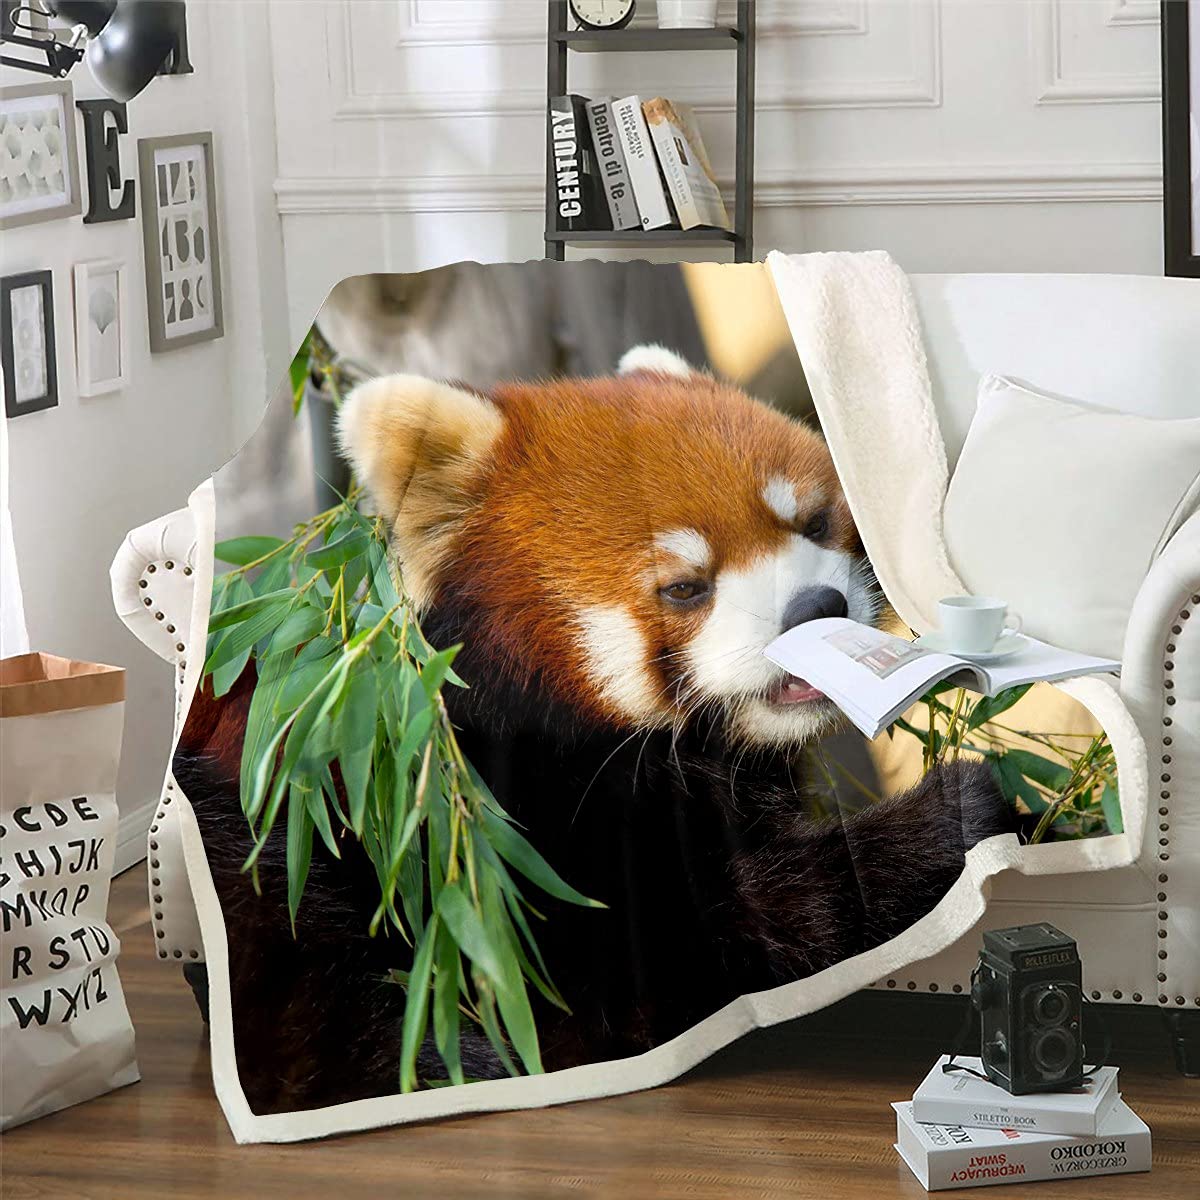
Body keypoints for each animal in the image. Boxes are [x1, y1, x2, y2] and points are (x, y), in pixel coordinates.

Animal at [175, 347, 1014, 1114]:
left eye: (811, 521)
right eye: (685, 587)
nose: (818, 607)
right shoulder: (494, 837)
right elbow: (710, 942)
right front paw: (957, 812)